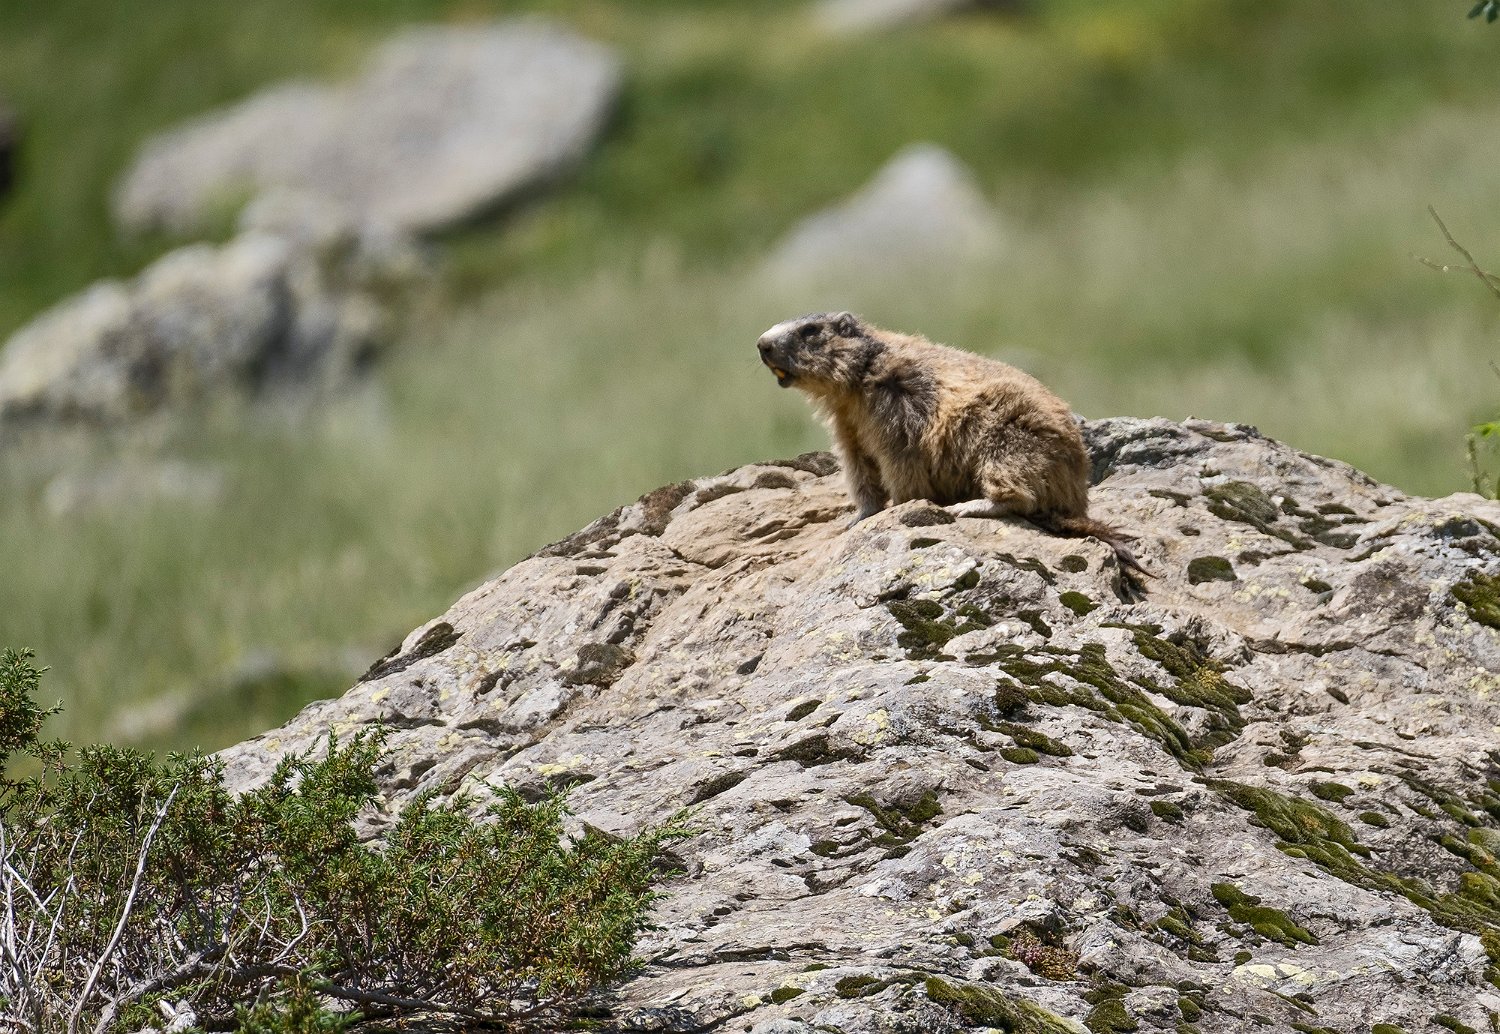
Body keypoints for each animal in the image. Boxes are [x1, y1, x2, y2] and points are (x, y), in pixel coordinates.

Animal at [756, 311, 1147, 582]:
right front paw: (859, 516)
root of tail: (1077, 500)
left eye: (810, 331)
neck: (858, 379)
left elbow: (898, 457)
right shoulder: (846, 425)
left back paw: (973, 505)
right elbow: (858, 466)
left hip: (1009, 440)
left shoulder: (895, 401)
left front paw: (900, 504)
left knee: (1019, 492)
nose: (761, 344)